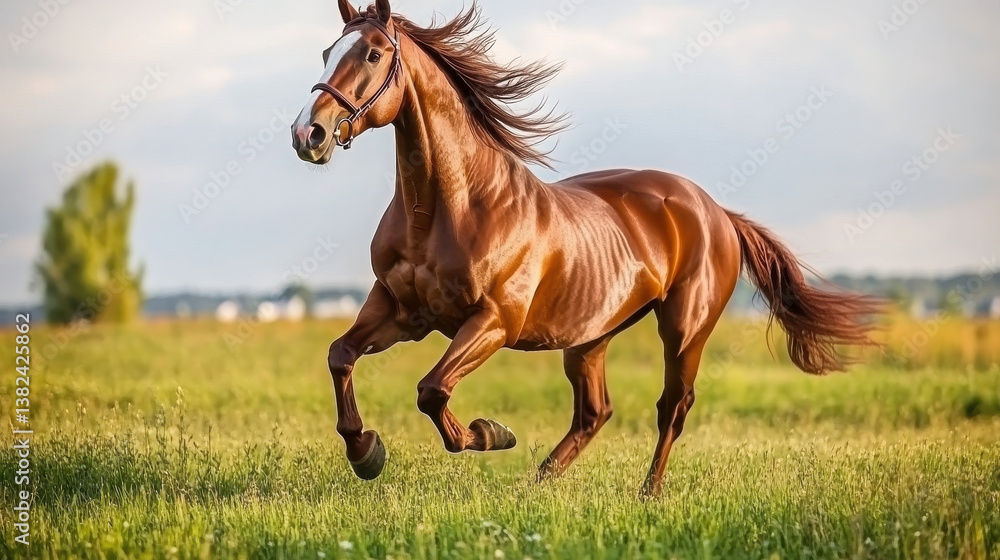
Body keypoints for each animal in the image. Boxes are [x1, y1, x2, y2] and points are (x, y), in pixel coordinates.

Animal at [291, 0, 882, 496]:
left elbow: (432, 390)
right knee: (595, 411)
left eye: (372, 53)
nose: (308, 134)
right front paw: (366, 452)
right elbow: (340, 356)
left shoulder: (493, 321)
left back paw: (647, 493)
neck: (447, 209)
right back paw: (538, 483)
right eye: (326, 52)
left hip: (684, 329)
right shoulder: (400, 311)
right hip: (590, 337)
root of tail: (716, 212)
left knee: (672, 407)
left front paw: (491, 433)